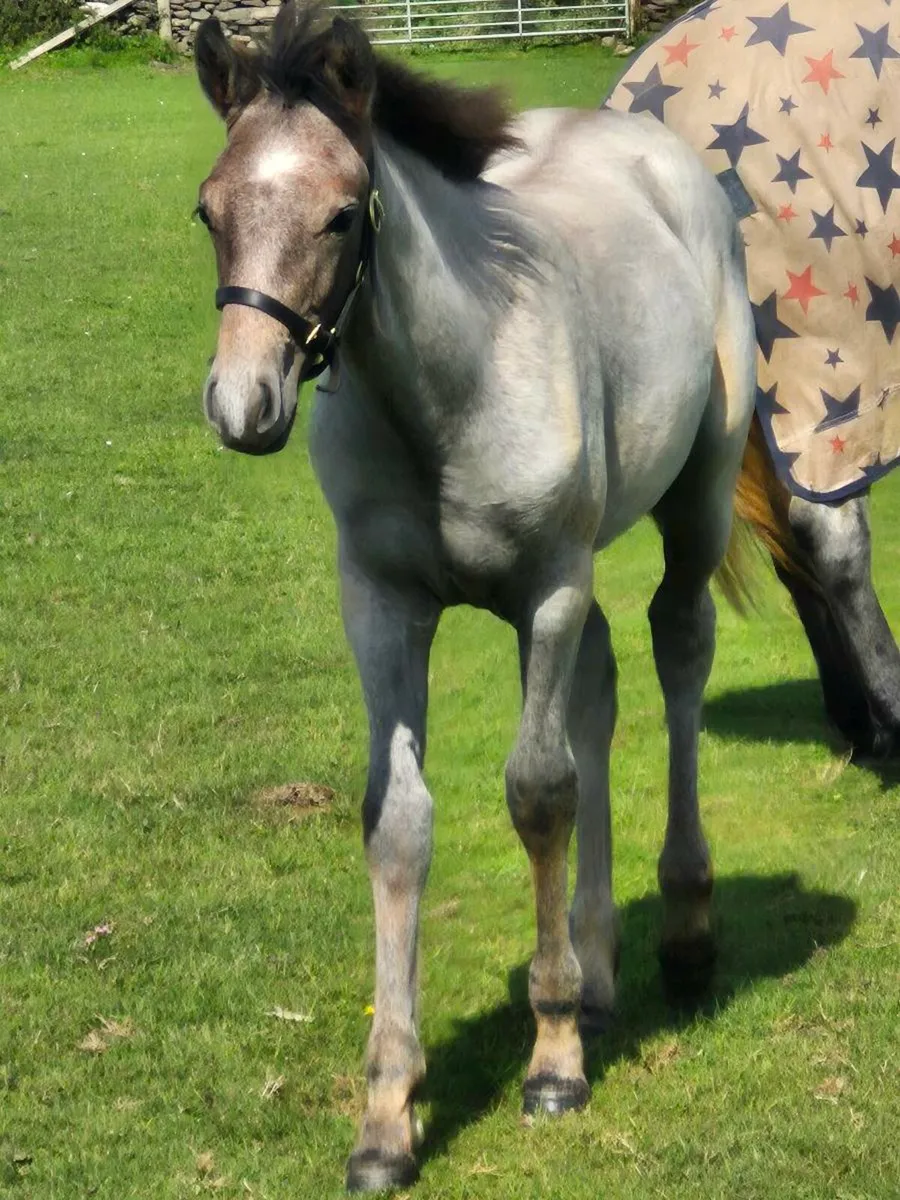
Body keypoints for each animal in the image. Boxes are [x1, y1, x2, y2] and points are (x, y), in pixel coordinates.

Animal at [194, 2, 756, 1188]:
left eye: (341, 215)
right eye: (209, 210)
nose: (243, 404)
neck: (446, 395)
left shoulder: (545, 588)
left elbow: (539, 792)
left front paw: (553, 1064)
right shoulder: (381, 604)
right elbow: (396, 821)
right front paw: (387, 1118)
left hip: (696, 499)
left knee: (678, 650)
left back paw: (684, 934)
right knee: (601, 683)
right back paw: (597, 970)